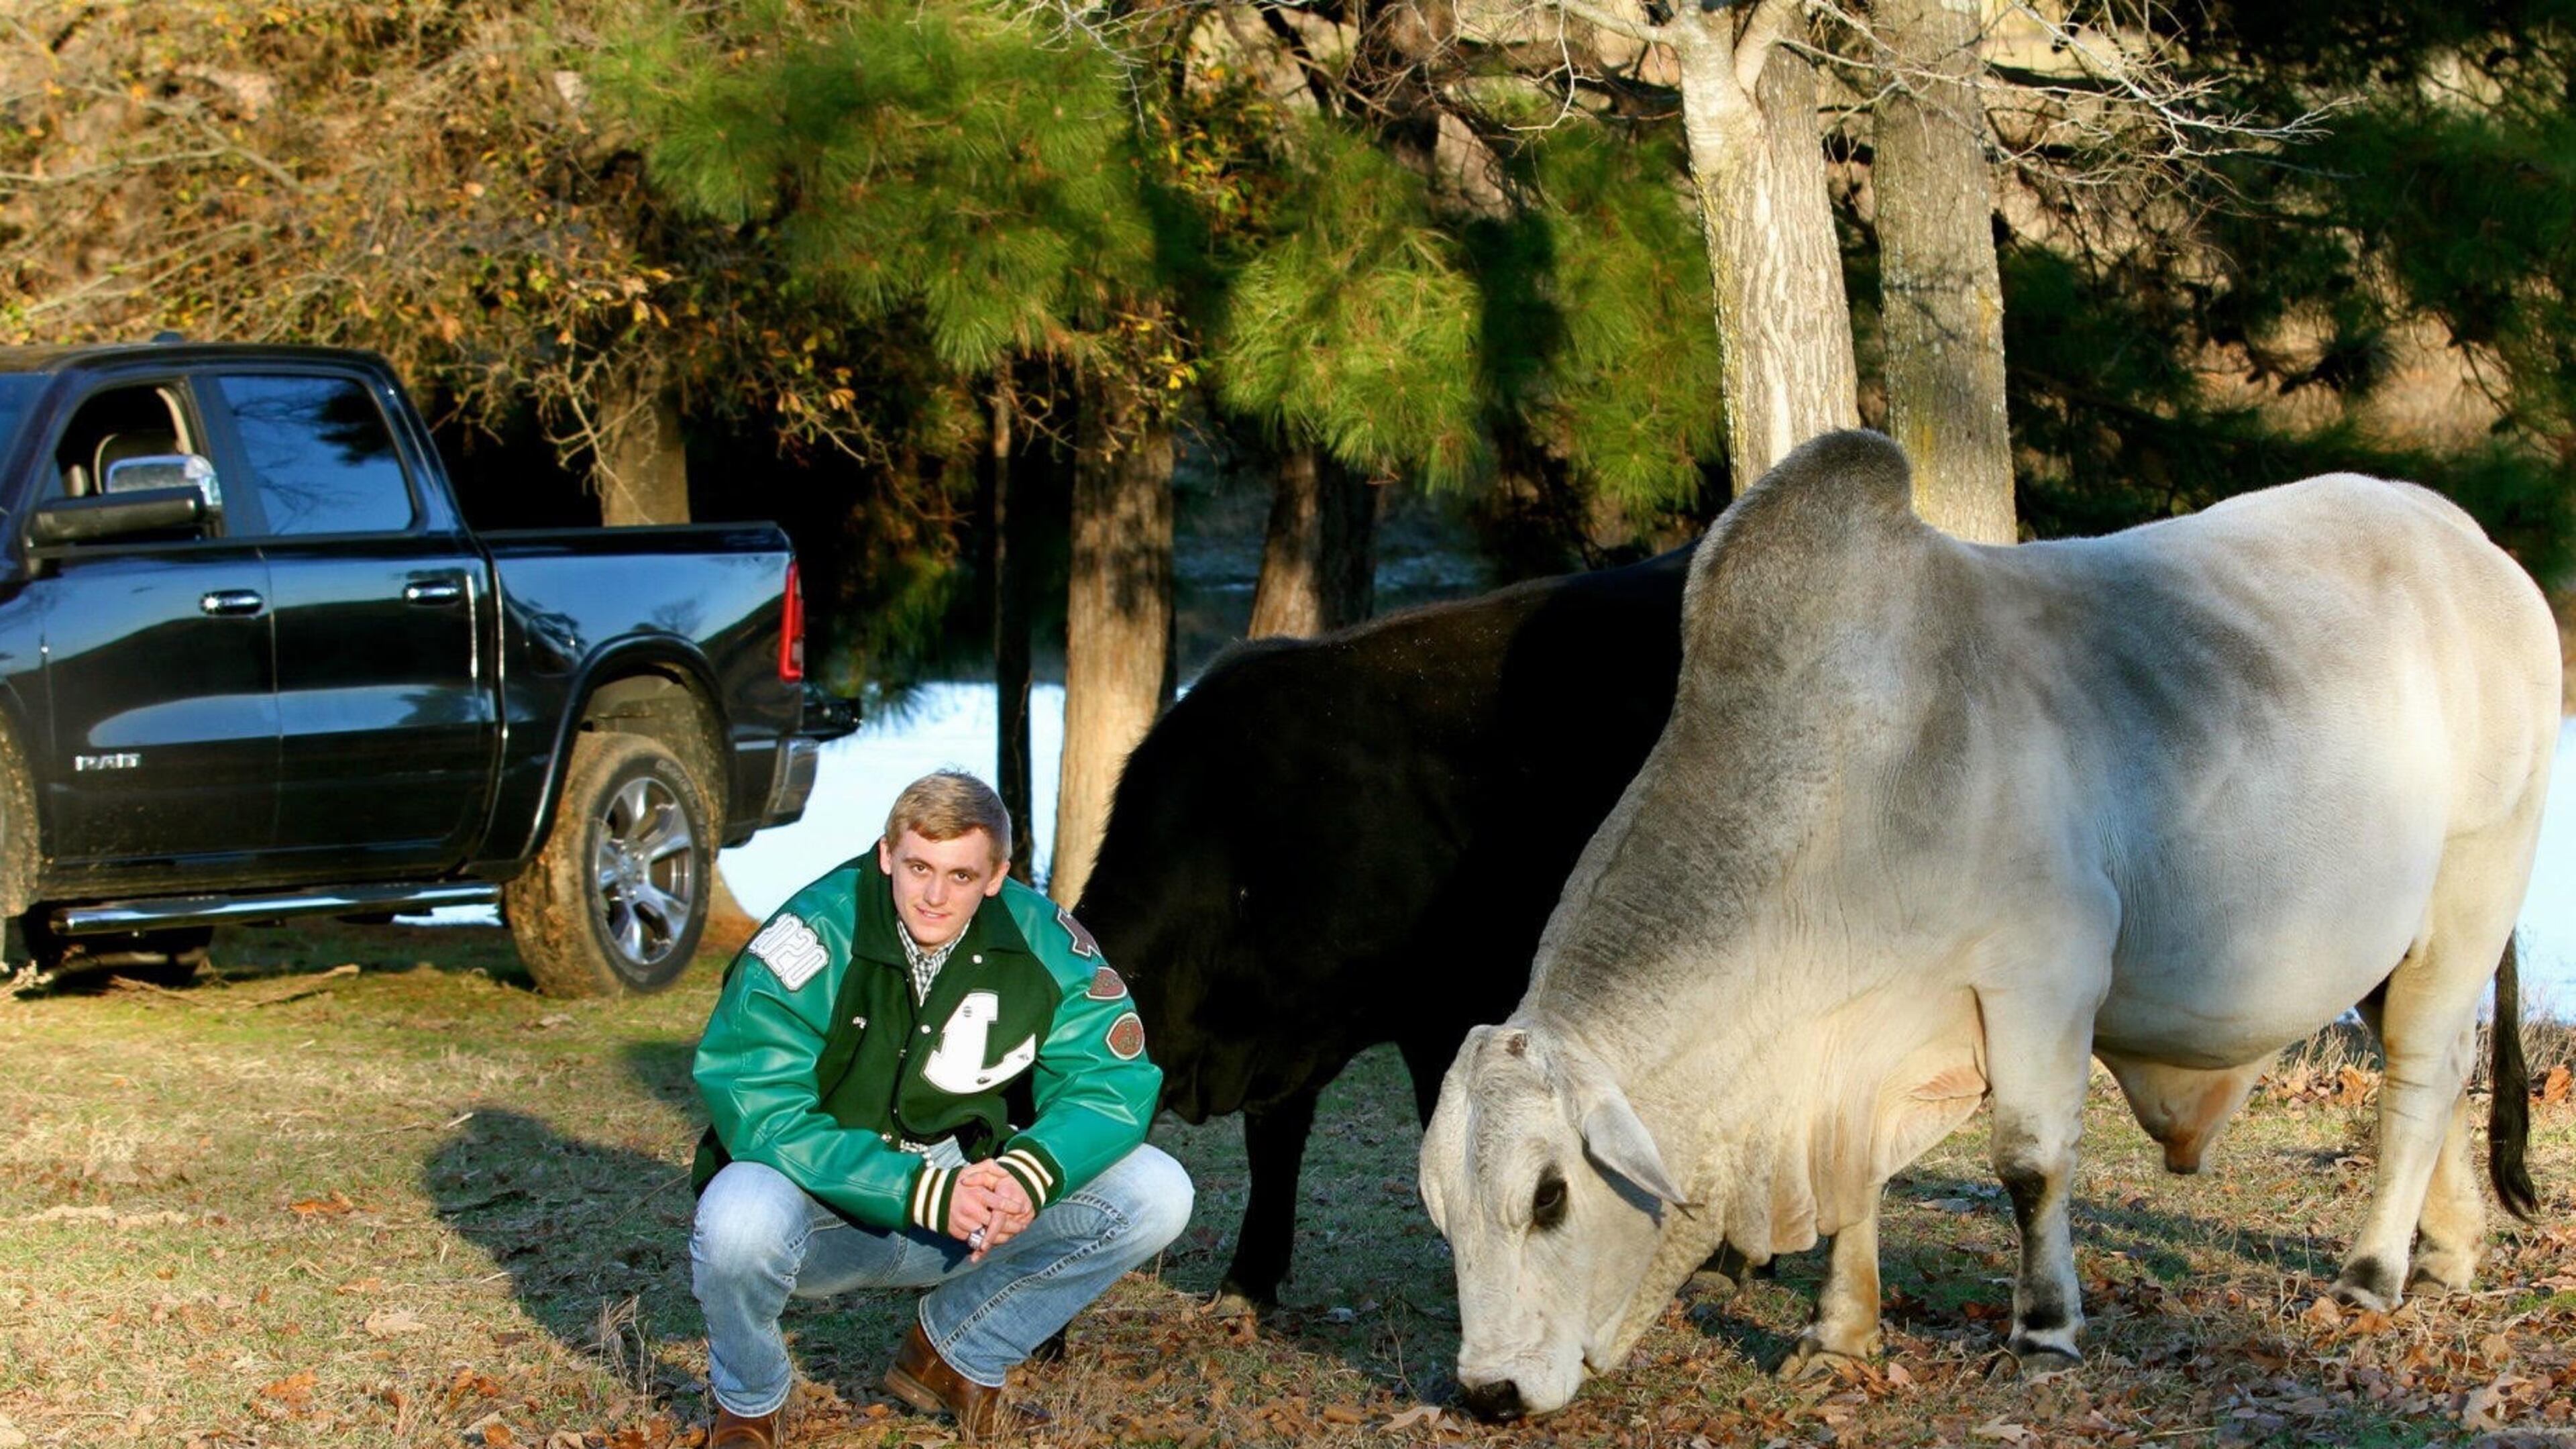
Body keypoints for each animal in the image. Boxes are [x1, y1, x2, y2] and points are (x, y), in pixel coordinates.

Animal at [1419, 430, 2557, 1418]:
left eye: (1550, 1196)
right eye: (1442, 1209)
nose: (1489, 1392)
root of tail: (2472, 545)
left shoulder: (2045, 978)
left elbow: (2030, 1163)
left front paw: (2044, 1331)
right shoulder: (1852, 1054)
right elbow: (1857, 1190)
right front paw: (1838, 1334)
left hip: (2474, 888)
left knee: (2421, 1075)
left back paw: (2371, 1273)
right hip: (2392, 949)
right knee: (2435, 1071)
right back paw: (2446, 1254)